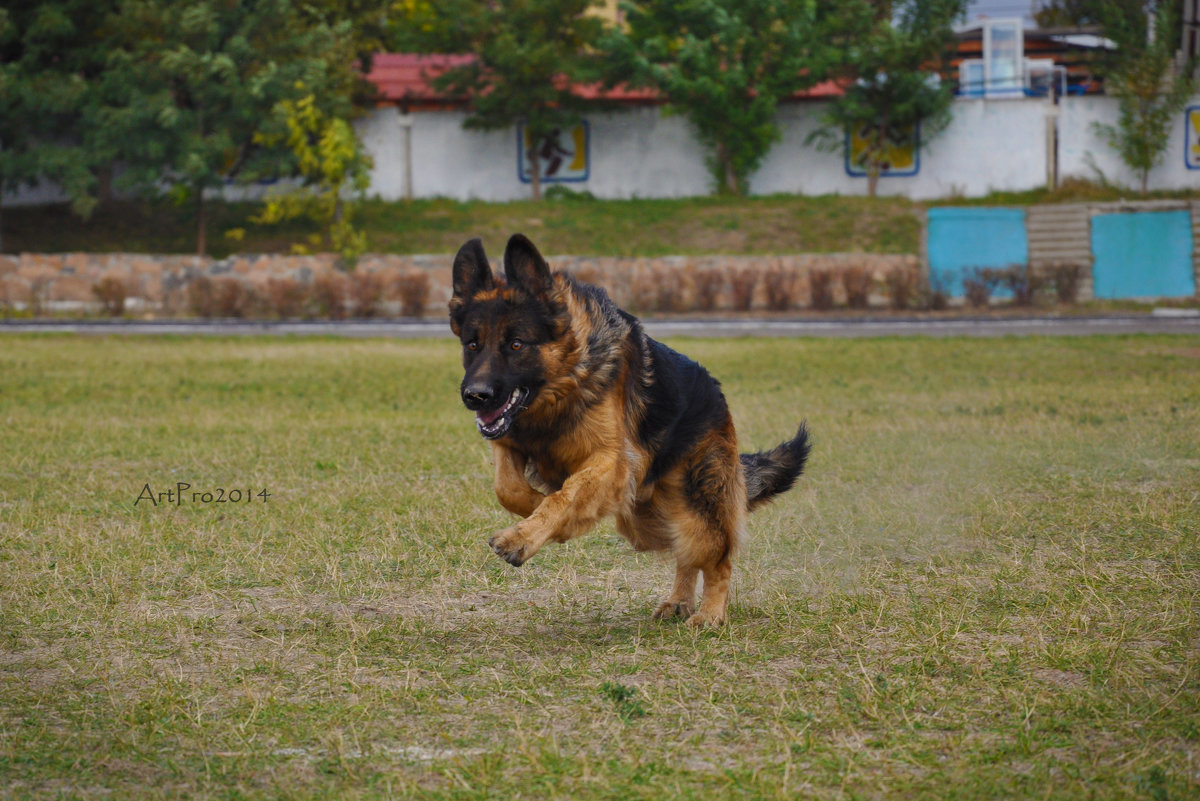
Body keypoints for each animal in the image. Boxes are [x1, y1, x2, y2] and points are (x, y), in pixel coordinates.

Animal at [453, 232, 811, 623]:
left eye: (516, 344)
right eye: (473, 345)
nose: (474, 396)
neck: (563, 388)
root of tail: (716, 396)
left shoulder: (611, 462)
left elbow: (567, 495)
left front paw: (523, 534)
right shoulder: (511, 443)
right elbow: (509, 488)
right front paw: (536, 506)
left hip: (698, 504)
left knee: (716, 557)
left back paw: (711, 614)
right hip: (644, 520)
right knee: (683, 551)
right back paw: (679, 601)